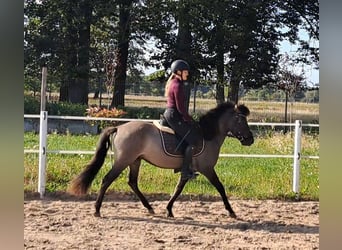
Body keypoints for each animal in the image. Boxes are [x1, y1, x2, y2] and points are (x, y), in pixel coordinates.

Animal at [68, 101, 252, 219]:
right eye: (241, 120)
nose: (250, 140)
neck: (208, 136)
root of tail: (119, 127)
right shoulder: (207, 169)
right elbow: (220, 187)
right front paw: (231, 211)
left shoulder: (188, 170)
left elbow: (178, 188)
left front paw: (169, 210)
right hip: (123, 161)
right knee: (107, 180)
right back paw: (97, 210)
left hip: (135, 161)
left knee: (132, 182)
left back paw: (150, 208)